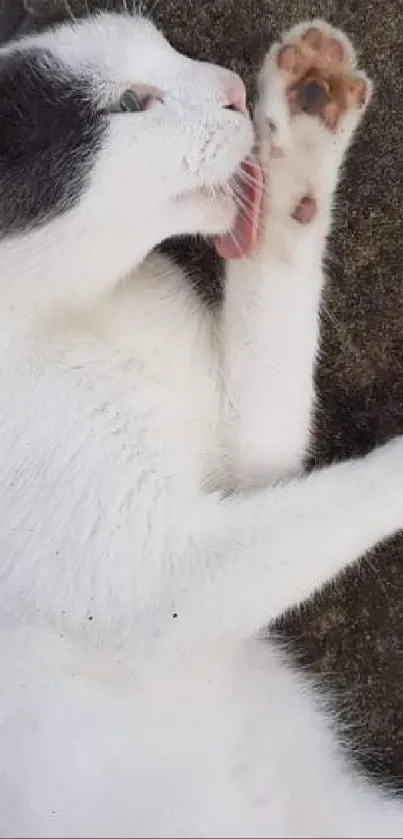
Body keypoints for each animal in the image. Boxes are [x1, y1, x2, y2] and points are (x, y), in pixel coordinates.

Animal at [0, 9, 403, 836]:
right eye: (130, 104)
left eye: (161, 44)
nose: (228, 90)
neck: (73, 316)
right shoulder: (159, 580)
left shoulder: (248, 462)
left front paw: (300, 133)